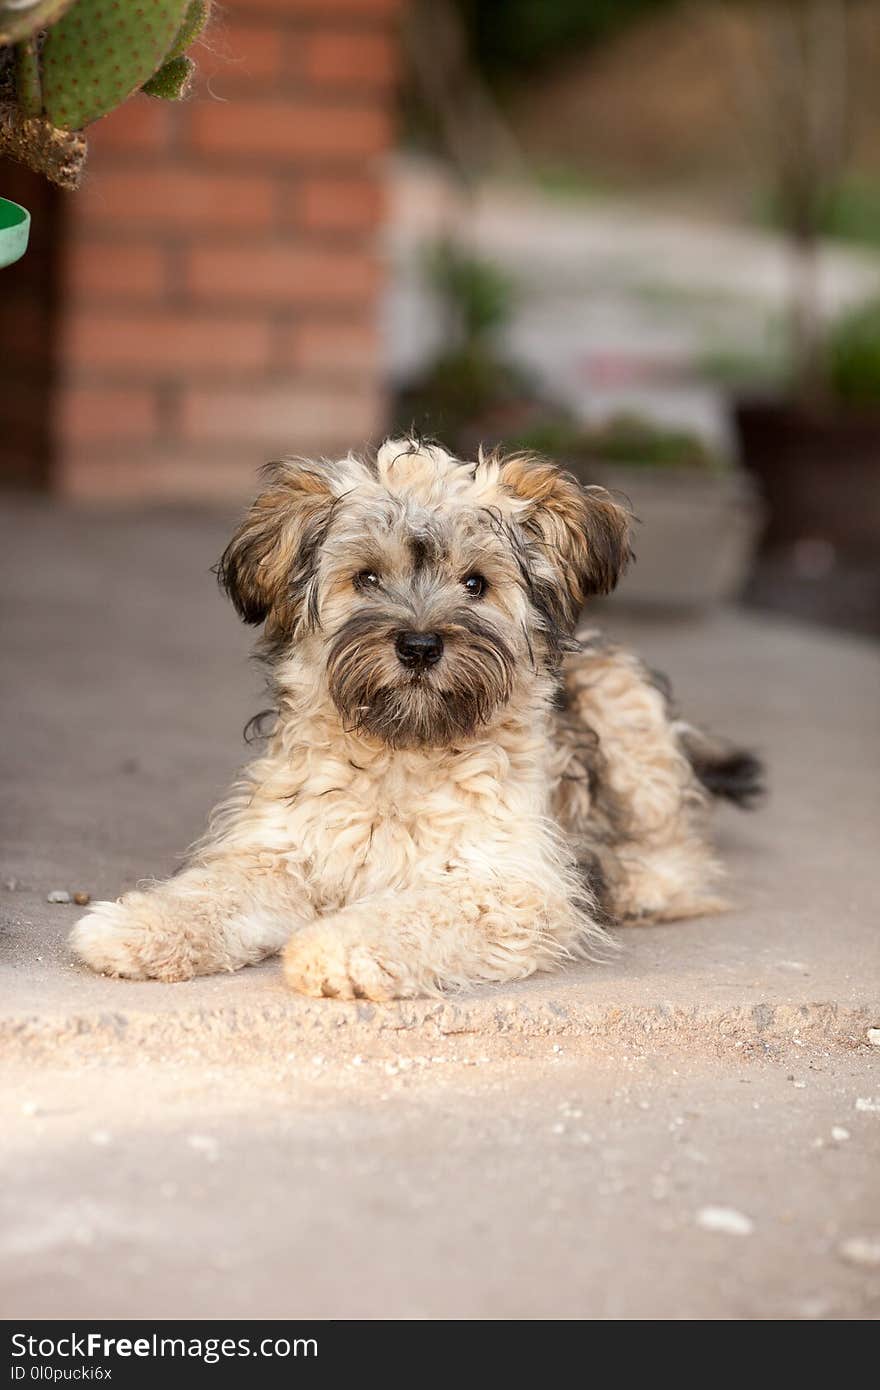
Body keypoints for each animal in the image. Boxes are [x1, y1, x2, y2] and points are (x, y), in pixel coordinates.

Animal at [71, 439, 756, 995]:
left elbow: (408, 913)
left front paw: (335, 950)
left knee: (677, 842)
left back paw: (639, 887)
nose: (420, 646)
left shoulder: (505, 885)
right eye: (367, 578)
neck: (399, 760)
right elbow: (209, 894)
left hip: (629, 718)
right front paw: (136, 926)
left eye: (476, 584)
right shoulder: (279, 853)